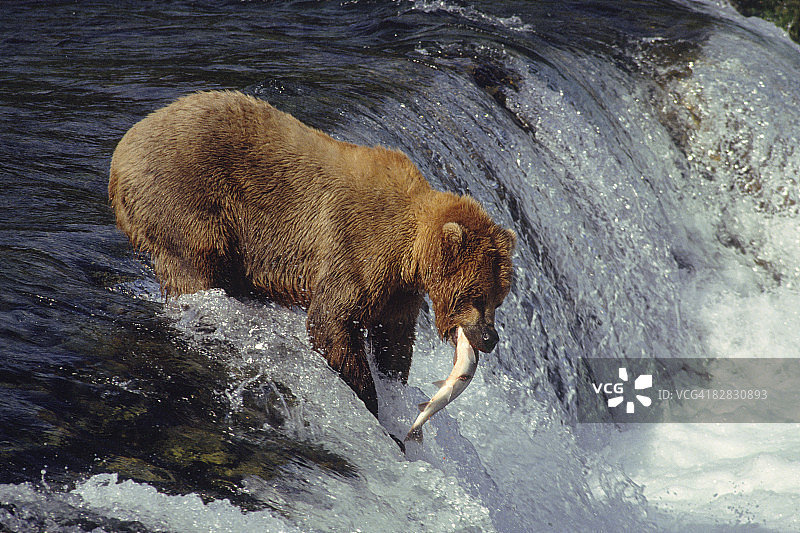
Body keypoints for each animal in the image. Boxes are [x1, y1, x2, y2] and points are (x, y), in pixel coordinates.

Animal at [109, 90, 515, 417]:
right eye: (476, 295)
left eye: (498, 297)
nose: (489, 338)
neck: (409, 252)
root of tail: (122, 149)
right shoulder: (356, 248)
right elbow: (331, 322)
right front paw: (369, 398)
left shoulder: (399, 289)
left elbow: (394, 337)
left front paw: (392, 383)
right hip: (188, 199)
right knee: (194, 267)